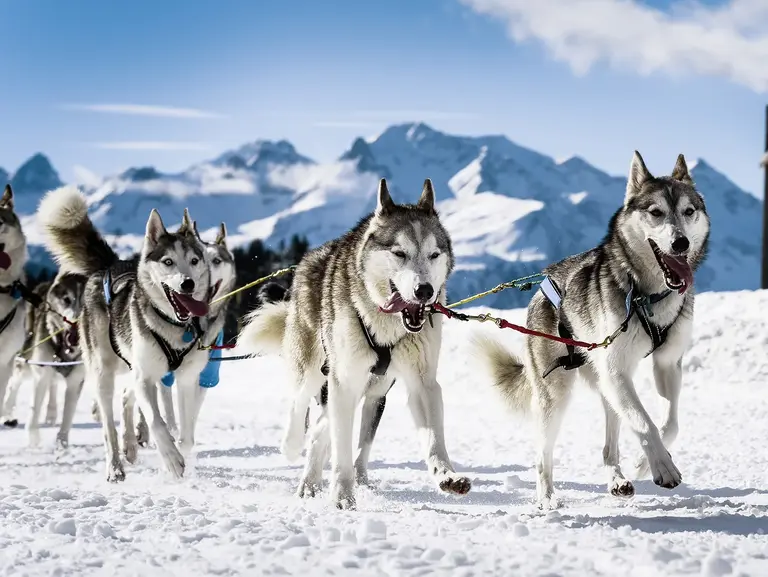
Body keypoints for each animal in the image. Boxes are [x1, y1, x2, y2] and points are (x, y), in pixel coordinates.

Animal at [12, 270, 85, 446]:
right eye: (66, 299)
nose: (75, 322)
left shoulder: (76, 380)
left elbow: (68, 414)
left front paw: (62, 443)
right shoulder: (41, 373)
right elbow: (34, 408)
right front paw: (33, 439)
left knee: (53, 384)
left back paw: (51, 413)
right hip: (27, 362)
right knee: (14, 381)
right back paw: (6, 412)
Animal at [38, 186, 214, 482]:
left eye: (193, 260)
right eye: (168, 261)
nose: (187, 284)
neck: (173, 325)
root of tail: (109, 266)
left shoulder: (185, 379)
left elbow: (186, 434)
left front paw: (179, 453)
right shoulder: (146, 377)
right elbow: (157, 421)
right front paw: (171, 459)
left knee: (125, 398)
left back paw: (130, 444)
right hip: (104, 372)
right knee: (108, 426)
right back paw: (115, 466)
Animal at [240, 178, 472, 506]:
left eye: (434, 255)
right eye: (399, 253)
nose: (424, 290)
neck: (385, 324)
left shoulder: (422, 382)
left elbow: (433, 438)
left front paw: (446, 475)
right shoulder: (345, 381)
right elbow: (342, 448)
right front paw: (342, 493)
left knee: (322, 427)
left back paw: (310, 481)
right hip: (313, 366)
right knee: (301, 405)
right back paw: (293, 447)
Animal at [472, 153, 712, 508]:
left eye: (689, 211)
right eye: (655, 212)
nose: (680, 242)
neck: (647, 294)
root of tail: (542, 285)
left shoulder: (667, 364)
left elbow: (669, 425)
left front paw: (644, 464)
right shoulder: (616, 370)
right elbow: (644, 422)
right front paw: (662, 467)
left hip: (606, 384)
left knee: (609, 446)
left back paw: (618, 478)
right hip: (557, 392)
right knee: (542, 455)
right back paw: (546, 498)